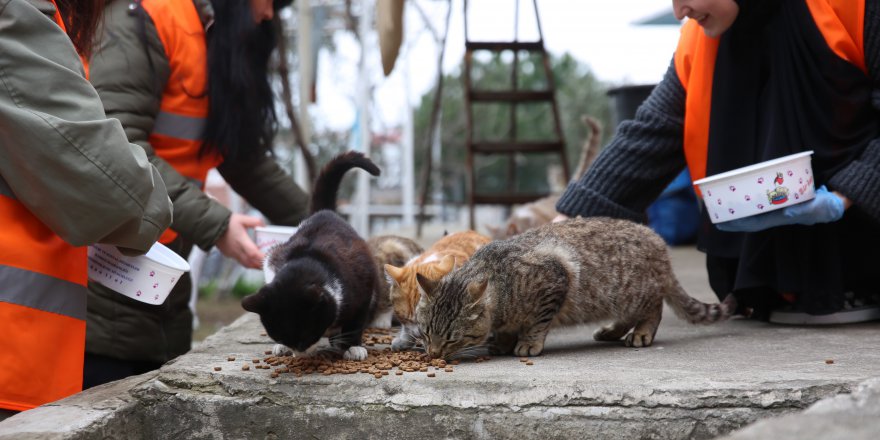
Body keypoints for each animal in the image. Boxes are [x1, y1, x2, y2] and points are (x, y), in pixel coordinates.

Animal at [242, 151, 380, 360]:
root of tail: (325, 211)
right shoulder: (272, 261)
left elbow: (355, 322)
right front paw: (282, 347)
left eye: (305, 336)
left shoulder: (364, 282)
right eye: (280, 336)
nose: (299, 354)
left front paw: (352, 346)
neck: (307, 261)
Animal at [416, 217, 732, 360]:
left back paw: (642, 332)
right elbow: (507, 329)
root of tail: (658, 240)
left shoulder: (555, 278)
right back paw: (611, 330)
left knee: (653, 310)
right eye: (425, 332)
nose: (433, 353)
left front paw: (528, 342)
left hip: (636, 293)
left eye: (452, 339)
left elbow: (537, 323)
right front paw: (503, 340)